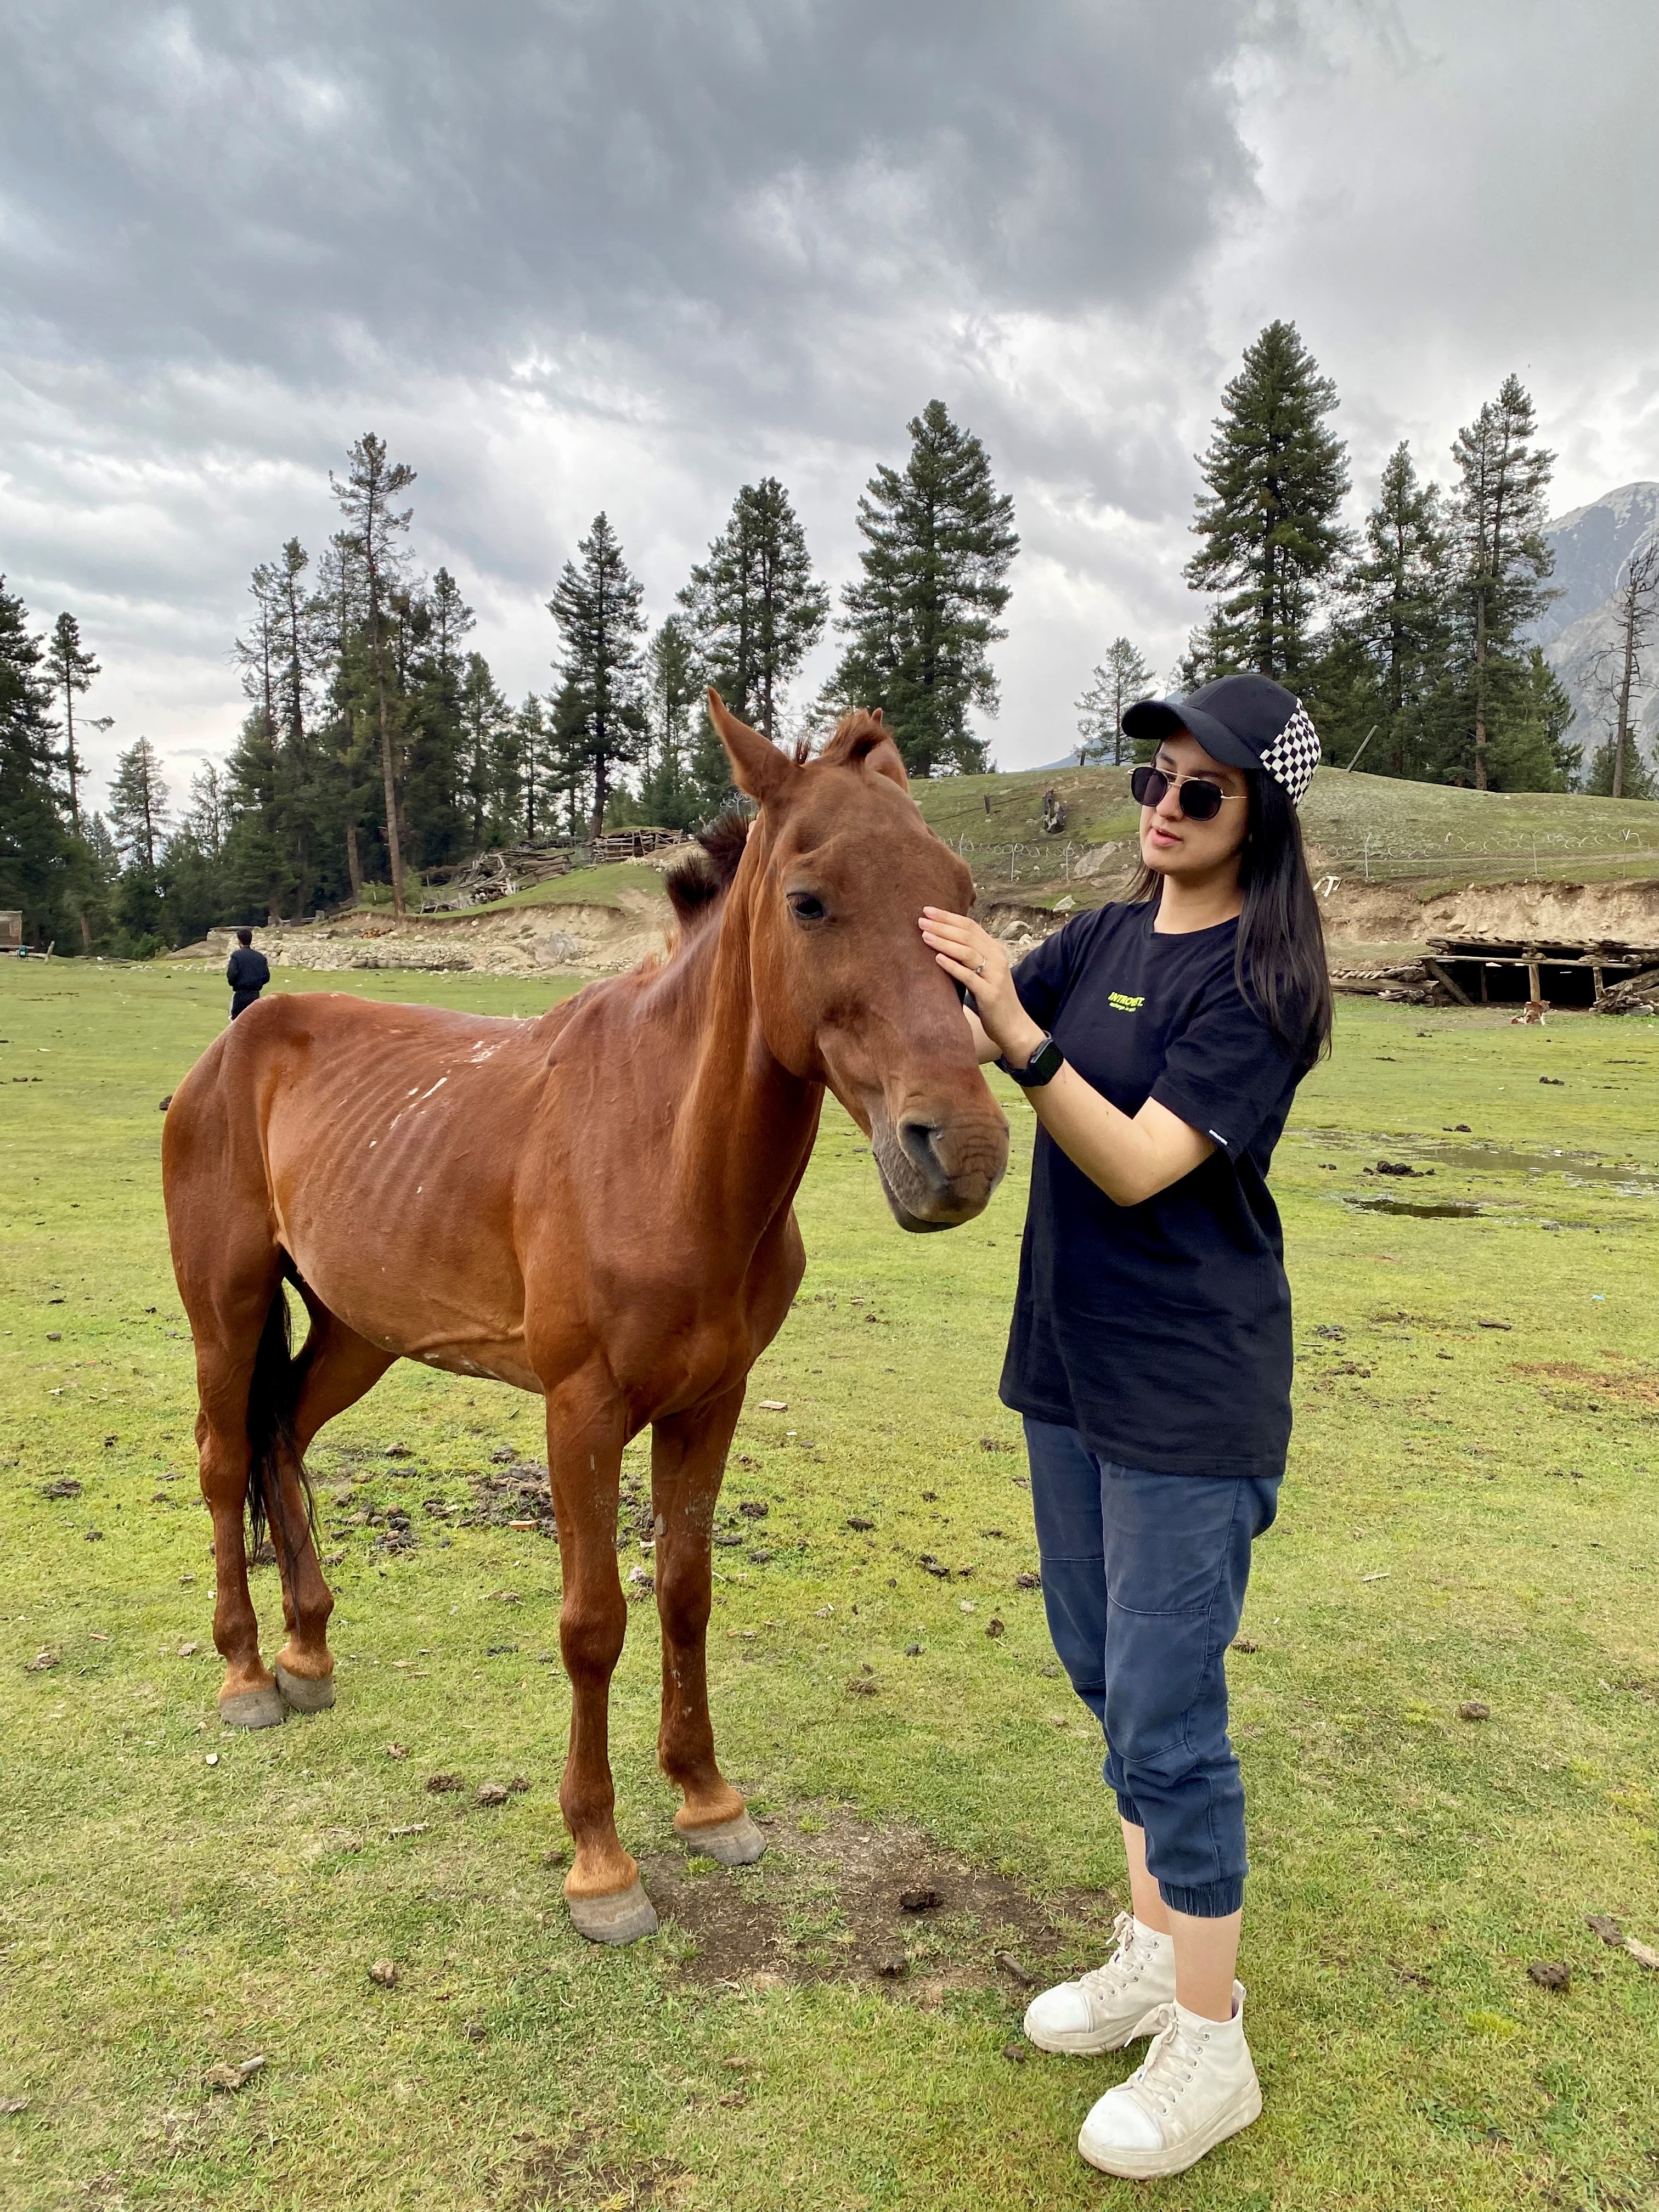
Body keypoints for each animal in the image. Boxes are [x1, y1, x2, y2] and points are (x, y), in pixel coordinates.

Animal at [161, 693, 1010, 1943]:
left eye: (959, 892)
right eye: (809, 900)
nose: (962, 1149)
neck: (664, 1150)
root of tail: (230, 1049)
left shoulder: (710, 1404)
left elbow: (687, 1597)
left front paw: (708, 1800)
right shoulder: (582, 1413)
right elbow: (593, 1621)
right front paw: (601, 1862)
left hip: (358, 1333)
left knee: (284, 1443)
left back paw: (309, 1653)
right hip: (224, 1317)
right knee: (228, 1463)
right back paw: (245, 1676)